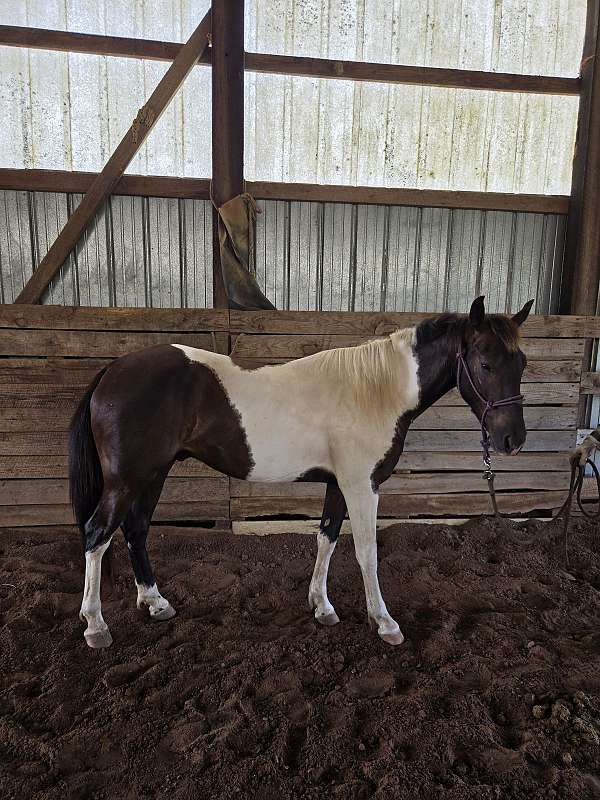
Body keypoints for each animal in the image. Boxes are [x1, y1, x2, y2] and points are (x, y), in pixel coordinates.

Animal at [69, 295, 533, 649]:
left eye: (522, 363)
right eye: (485, 363)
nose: (512, 439)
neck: (374, 390)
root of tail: (113, 370)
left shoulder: (338, 485)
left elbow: (327, 538)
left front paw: (322, 606)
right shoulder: (362, 485)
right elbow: (367, 551)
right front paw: (384, 622)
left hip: (154, 473)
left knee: (135, 530)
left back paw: (155, 602)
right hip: (128, 479)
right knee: (97, 534)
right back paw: (95, 626)